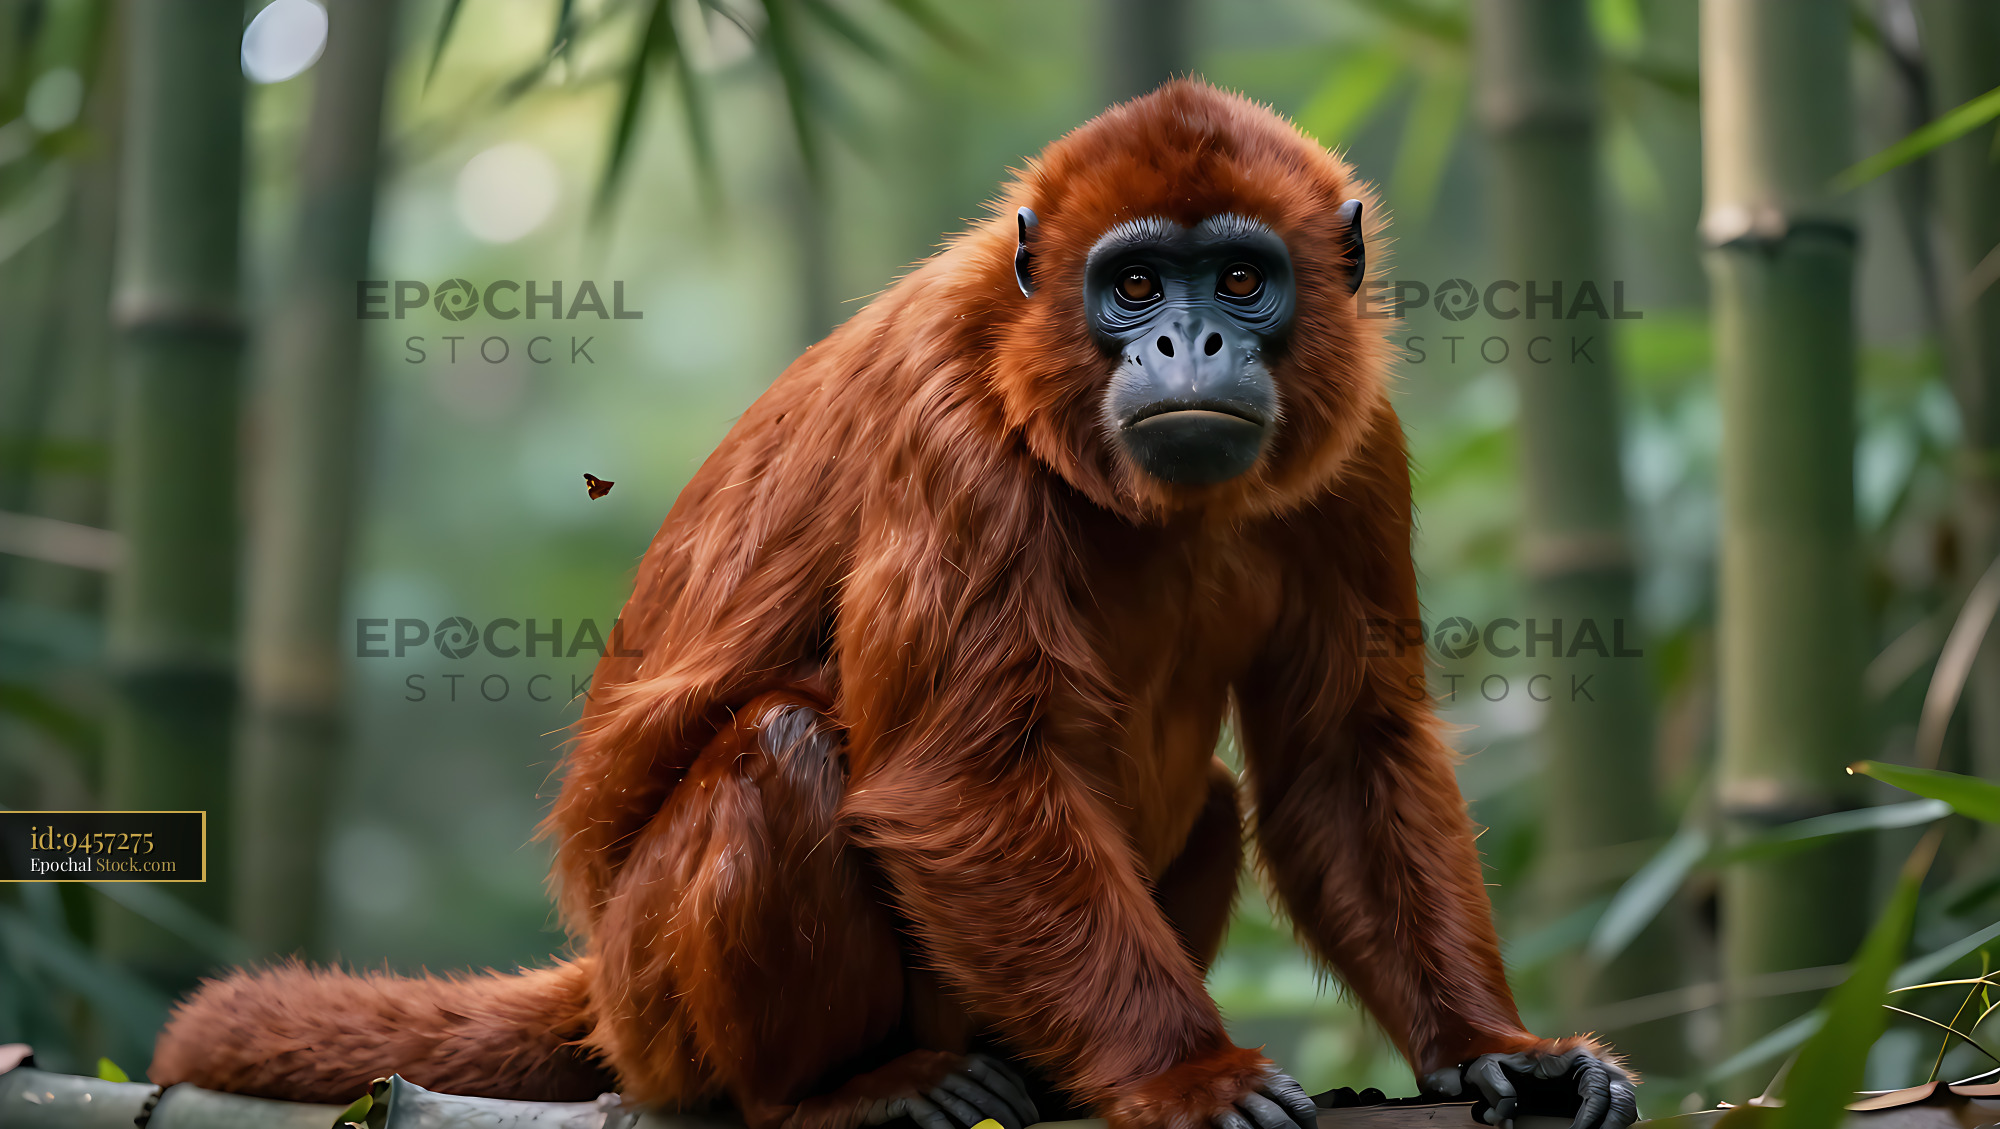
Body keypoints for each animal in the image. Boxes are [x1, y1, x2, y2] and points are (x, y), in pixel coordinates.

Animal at [151, 81, 1637, 1129]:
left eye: (1241, 277)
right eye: (1134, 284)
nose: (1188, 341)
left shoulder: (1357, 437)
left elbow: (1341, 748)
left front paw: (1492, 1051)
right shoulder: (956, 423)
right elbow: (951, 779)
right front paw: (1187, 1075)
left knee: (1213, 797)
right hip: (656, 1015)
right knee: (784, 747)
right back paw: (824, 1093)